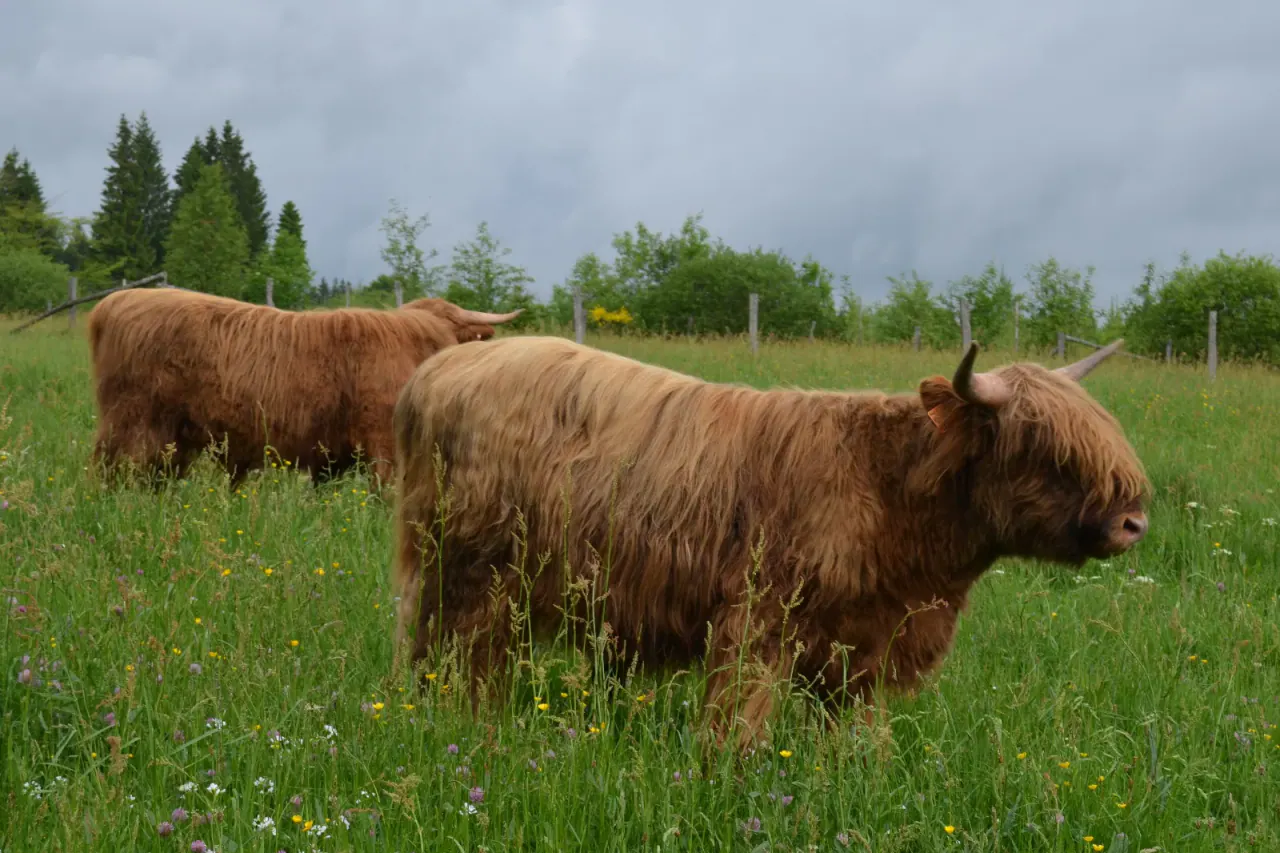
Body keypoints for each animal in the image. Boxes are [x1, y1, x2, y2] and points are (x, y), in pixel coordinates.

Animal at [390, 336, 1149, 747]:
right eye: (1048, 449)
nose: (1132, 522)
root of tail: (435, 370)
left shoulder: (862, 648)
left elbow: (855, 740)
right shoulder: (758, 623)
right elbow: (738, 729)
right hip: (475, 573)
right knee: (462, 657)